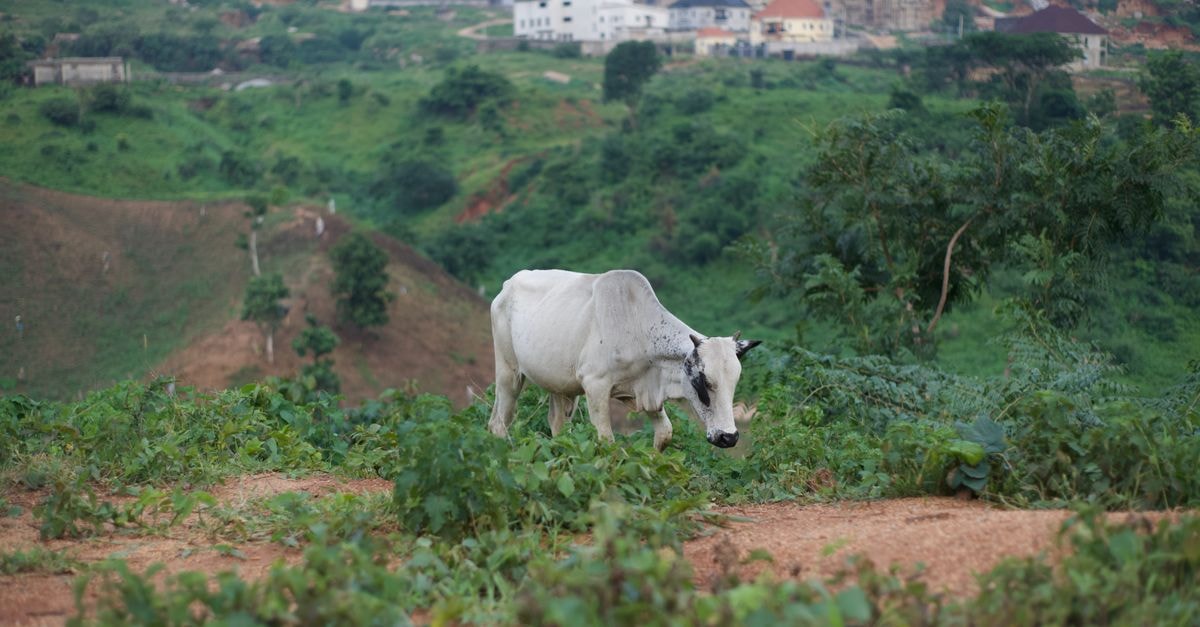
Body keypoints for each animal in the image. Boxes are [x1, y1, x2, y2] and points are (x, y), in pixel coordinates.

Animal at [487, 269, 761, 451]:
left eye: (734, 383)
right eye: (702, 381)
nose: (728, 437)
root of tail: (508, 284)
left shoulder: (648, 393)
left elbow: (665, 434)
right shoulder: (595, 385)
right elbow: (607, 440)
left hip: (561, 386)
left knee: (557, 424)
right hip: (509, 373)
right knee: (498, 423)